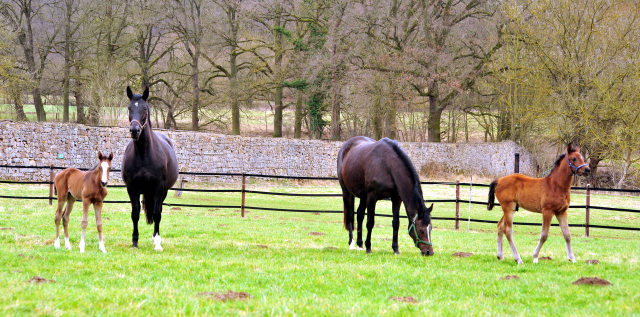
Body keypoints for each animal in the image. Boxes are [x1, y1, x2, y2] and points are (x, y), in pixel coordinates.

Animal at [122, 86, 179, 249]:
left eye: (145, 108)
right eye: (129, 108)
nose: (135, 130)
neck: (143, 154)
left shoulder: (159, 188)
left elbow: (156, 214)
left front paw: (158, 243)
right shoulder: (131, 188)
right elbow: (135, 214)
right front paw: (134, 242)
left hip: (162, 192)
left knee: (158, 210)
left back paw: (155, 238)